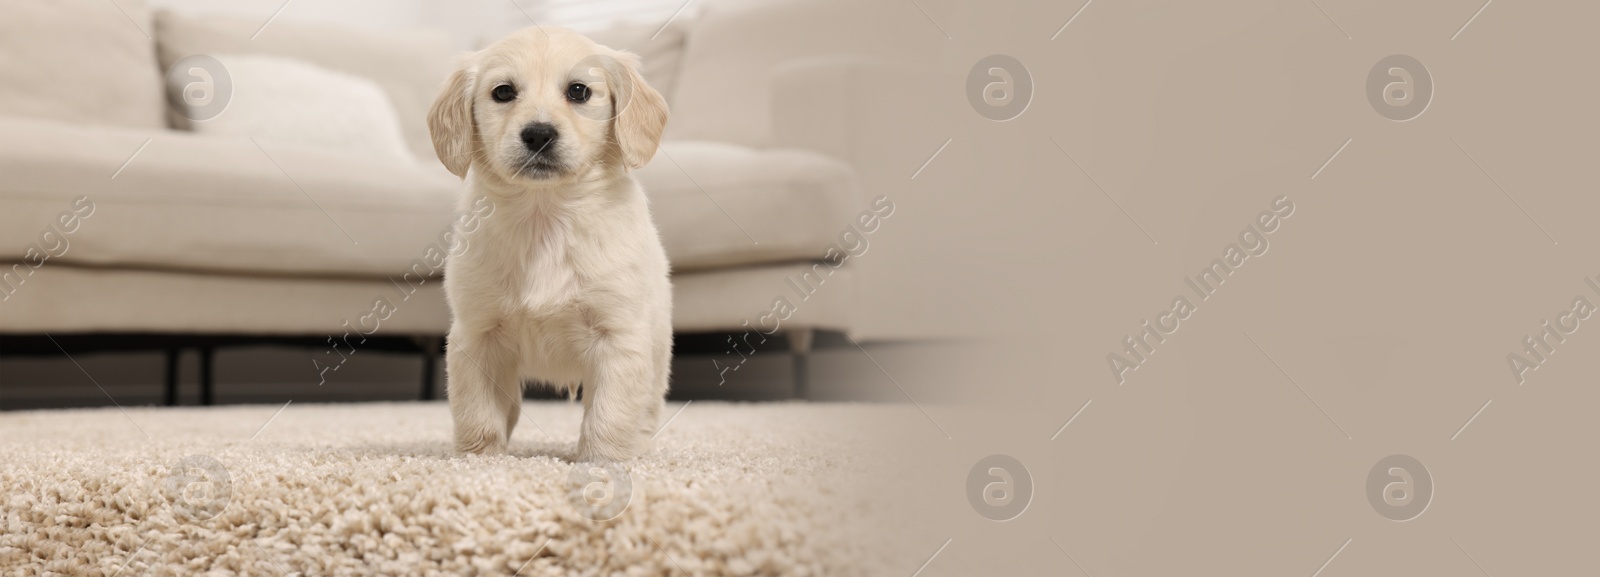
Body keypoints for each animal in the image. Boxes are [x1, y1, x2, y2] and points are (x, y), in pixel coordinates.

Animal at [425, 26, 668, 460]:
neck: (544, 217)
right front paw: (479, 461)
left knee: (648, 406)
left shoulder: (619, 337)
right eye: (503, 92)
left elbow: (609, 415)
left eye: (579, 91)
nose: (538, 134)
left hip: (658, 348)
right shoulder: (476, 335)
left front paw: (601, 462)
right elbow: (477, 414)